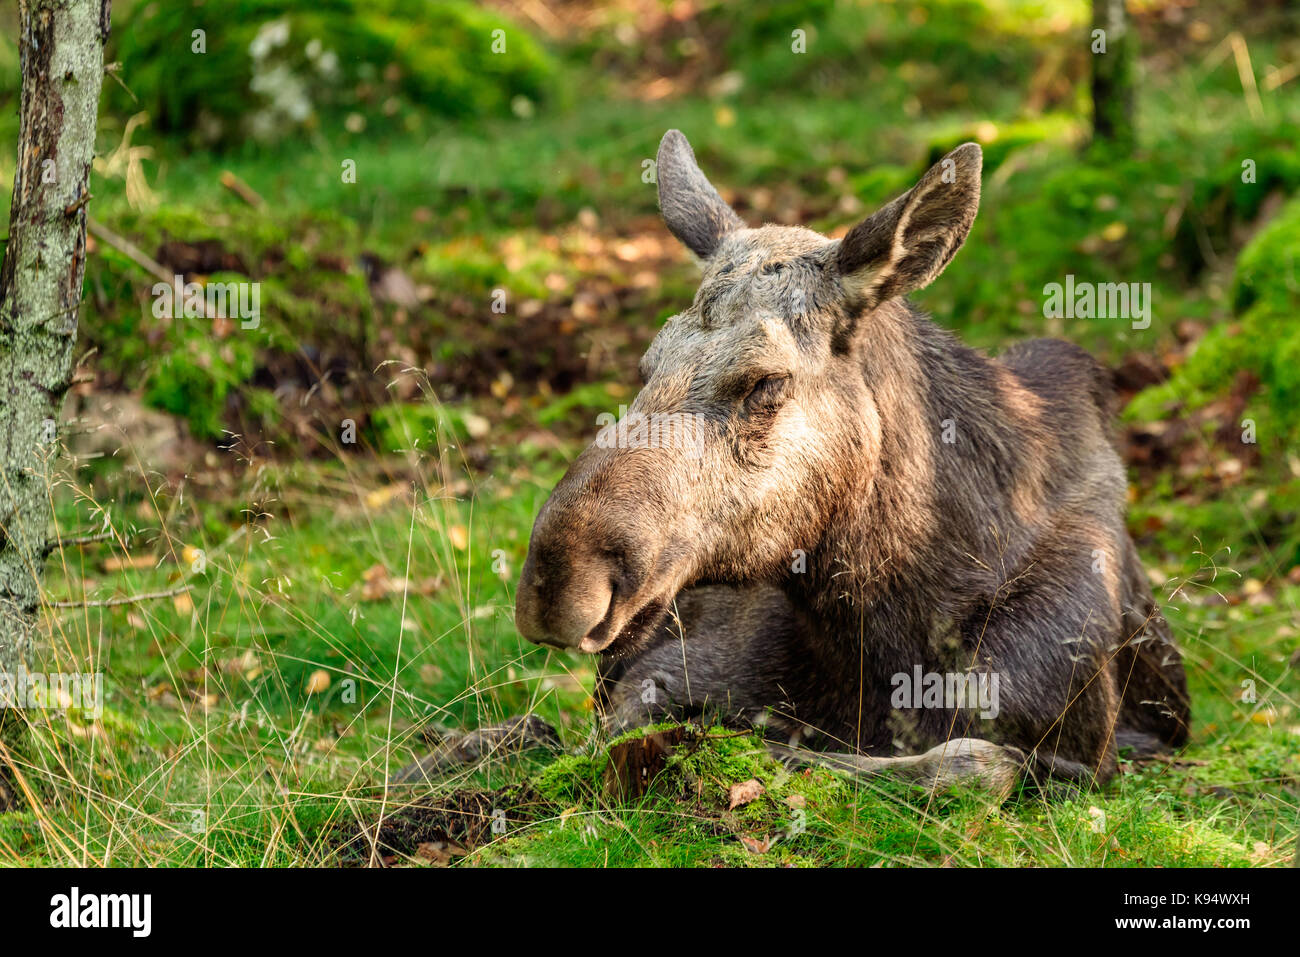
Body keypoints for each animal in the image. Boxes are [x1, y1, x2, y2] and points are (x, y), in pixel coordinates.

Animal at [501, 130, 1190, 795]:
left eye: (765, 381)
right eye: (648, 363)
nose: (556, 582)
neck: (888, 632)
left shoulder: (1082, 753)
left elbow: (965, 762)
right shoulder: (657, 672)